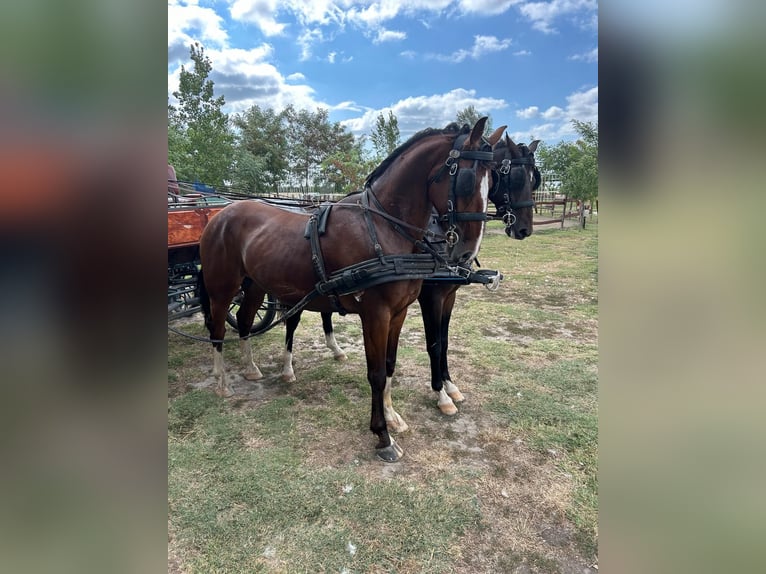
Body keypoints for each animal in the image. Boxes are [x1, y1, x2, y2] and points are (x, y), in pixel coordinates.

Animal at [200, 118, 504, 464]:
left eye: (493, 179)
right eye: (466, 179)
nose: (466, 251)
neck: (382, 229)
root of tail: (220, 214)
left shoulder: (398, 312)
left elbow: (390, 365)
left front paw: (393, 417)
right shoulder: (375, 314)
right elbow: (376, 373)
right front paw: (382, 436)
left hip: (255, 286)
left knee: (245, 320)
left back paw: (251, 369)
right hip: (222, 287)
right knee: (218, 328)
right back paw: (222, 382)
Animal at [280, 135, 544, 424]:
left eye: (534, 179)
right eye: (513, 177)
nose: (525, 229)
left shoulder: (449, 296)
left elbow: (445, 341)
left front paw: (450, 386)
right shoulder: (431, 297)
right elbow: (434, 344)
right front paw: (442, 395)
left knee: (325, 311)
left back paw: (335, 349)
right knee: (291, 320)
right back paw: (287, 369)